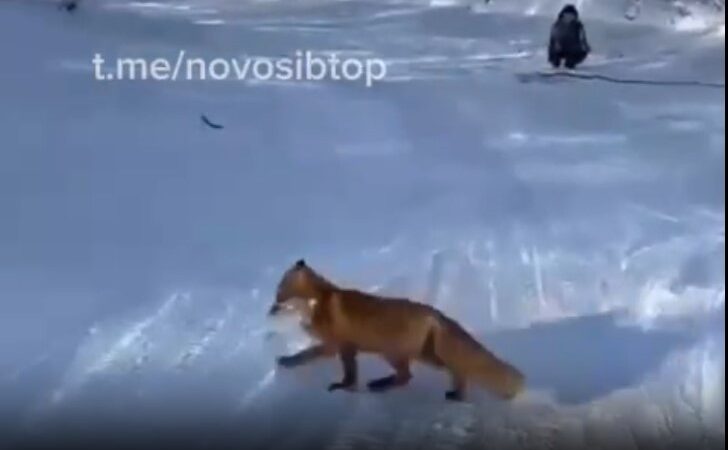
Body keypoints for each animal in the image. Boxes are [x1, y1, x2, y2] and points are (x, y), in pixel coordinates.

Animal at [268, 259, 525, 401]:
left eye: (280, 295)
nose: (269, 311)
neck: (316, 302)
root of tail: (434, 312)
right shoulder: (344, 347)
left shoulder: (337, 346)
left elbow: (308, 356)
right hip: (422, 355)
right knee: (435, 373)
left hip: (395, 353)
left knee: (418, 375)